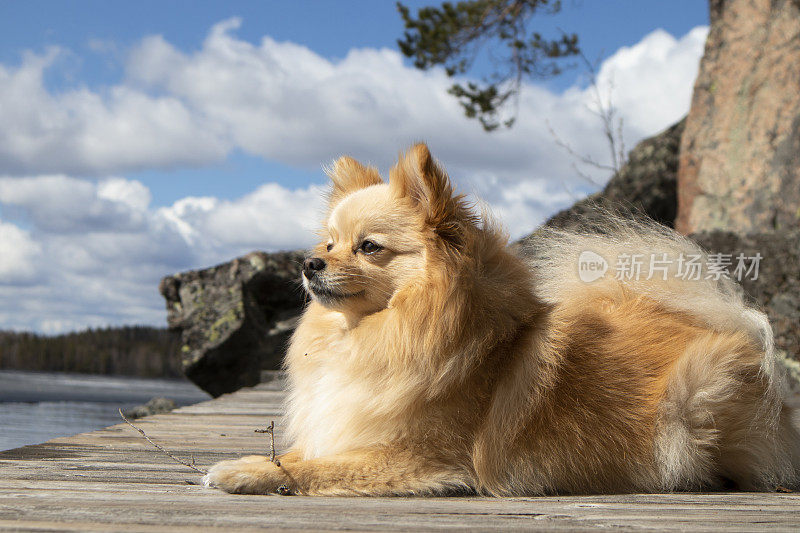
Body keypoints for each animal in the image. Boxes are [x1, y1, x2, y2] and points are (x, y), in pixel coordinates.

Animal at [202, 142, 800, 494]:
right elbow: (305, 451)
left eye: (368, 247)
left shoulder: (415, 456)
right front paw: (257, 461)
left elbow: (313, 466)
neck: (385, 331)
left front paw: (246, 470)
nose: (309, 263)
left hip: (695, 393)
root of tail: (744, 330)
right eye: (327, 243)